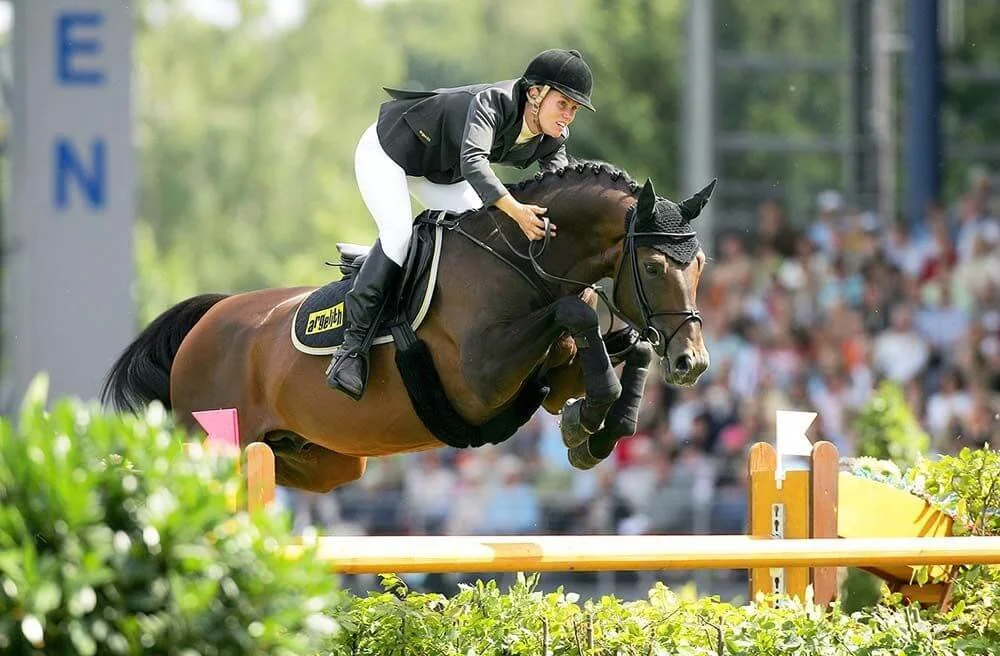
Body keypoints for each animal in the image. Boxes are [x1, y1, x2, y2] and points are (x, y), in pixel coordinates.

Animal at [101, 160, 713, 493]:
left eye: (701, 264)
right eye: (654, 267)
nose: (693, 363)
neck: (521, 261)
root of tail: (207, 319)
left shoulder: (551, 376)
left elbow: (623, 349)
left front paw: (596, 430)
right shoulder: (482, 378)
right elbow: (577, 314)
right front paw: (587, 424)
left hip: (323, 459)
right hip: (210, 435)